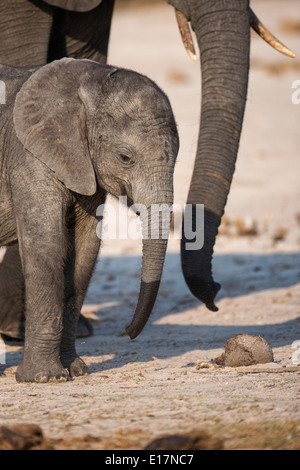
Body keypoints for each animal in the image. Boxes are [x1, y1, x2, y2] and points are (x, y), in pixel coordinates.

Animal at [0, 57, 178, 382]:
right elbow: (47, 247)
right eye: (125, 157)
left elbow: (83, 254)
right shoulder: (29, 158)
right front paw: (46, 378)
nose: (128, 332)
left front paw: (76, 370)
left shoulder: (84, 168)